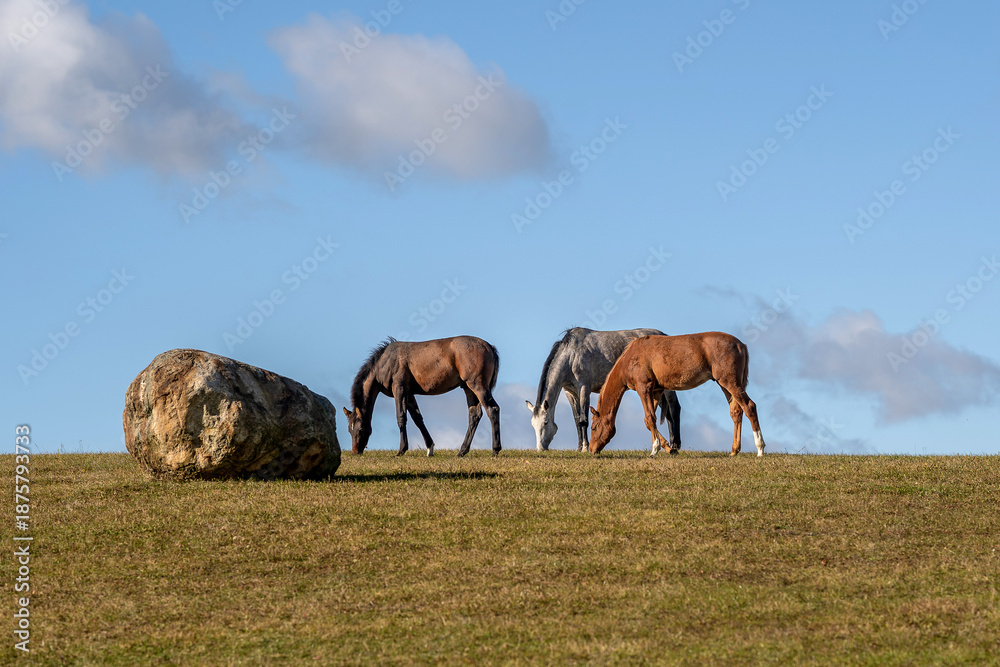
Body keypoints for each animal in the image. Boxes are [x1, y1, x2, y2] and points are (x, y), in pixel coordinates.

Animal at [343, 336, 501, 457]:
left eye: (360, 429)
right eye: (349, 430)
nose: (355, 452)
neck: (385, 363)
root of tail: (489, 346)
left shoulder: (399, 389)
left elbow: (401, 417)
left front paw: (401, 450)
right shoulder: (409, 394)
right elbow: (417, 419)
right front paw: (430, 448)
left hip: (477, 386)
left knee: (493, 409)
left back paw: (495, 450)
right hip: (468, 389)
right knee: (474, 415)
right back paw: (462, 452)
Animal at [525, 328, 682, 453]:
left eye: (545, 422)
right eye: (533, 424)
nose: (540, 448)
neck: (571, 356)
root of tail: (664, 335)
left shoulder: (584, 388)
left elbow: (583, 420)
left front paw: (585, 448)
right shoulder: (570, 392)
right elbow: (577, 420)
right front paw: (578, 447)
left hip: (667, 387)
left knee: (674, 409)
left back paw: (675, 445)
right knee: (668, 414)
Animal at [589, 333, 765, 457]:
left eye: (594, 427)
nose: (591, 449)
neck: (630, 357)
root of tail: (741, 345)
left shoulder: (643, 388)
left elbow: (649, 418)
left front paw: (655, 449)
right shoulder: (656, 391)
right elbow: (649, 421)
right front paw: (668, 448)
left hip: (730, 383)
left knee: (749, 407)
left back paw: (760, 448)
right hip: (725, 385)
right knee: (736, 412)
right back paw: (734, 450)